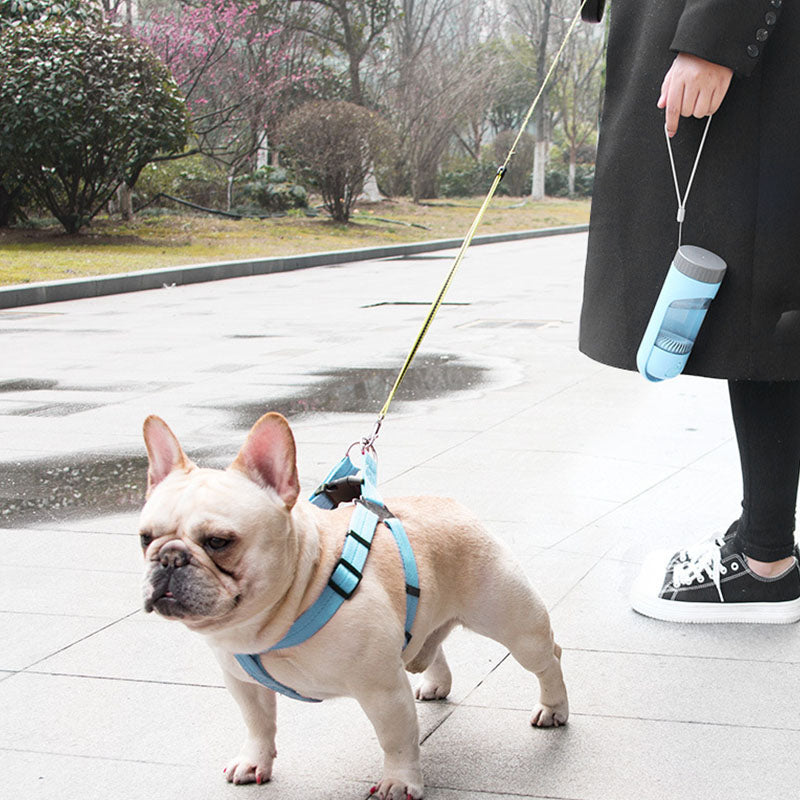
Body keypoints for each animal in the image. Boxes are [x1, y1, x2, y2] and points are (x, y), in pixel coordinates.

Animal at [141, 412, 572, 800]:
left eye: (218, 542)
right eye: (145, 538)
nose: (169, 558)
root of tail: (449, 504)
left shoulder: (381, 689)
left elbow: (396, 739)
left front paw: (399, 782)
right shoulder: (243, 686)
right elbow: (258, 725)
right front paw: (254, 762)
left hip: (515, 625)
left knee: (548, 657)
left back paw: (553, 708)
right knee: (428, 643)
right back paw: (436, 683)